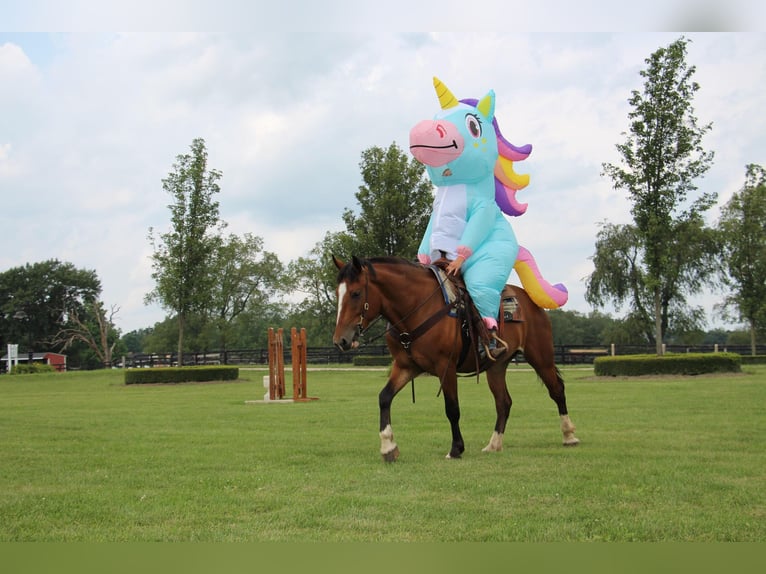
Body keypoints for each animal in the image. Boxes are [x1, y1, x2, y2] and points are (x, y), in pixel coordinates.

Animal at [332, 256, 580, 464]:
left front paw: (456, 449)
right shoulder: (405, 366)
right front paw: (388, 447)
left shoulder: (446, 367)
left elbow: (452, 408)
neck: (417, 307)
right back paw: (494, 444)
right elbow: (384, 398)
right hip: (496, 367)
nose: (340, 340)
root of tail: (530, 301)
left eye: (355, 293)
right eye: (337, 293)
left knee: (557, 390)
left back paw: (569, 436)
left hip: (540, 356)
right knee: (504, 402)